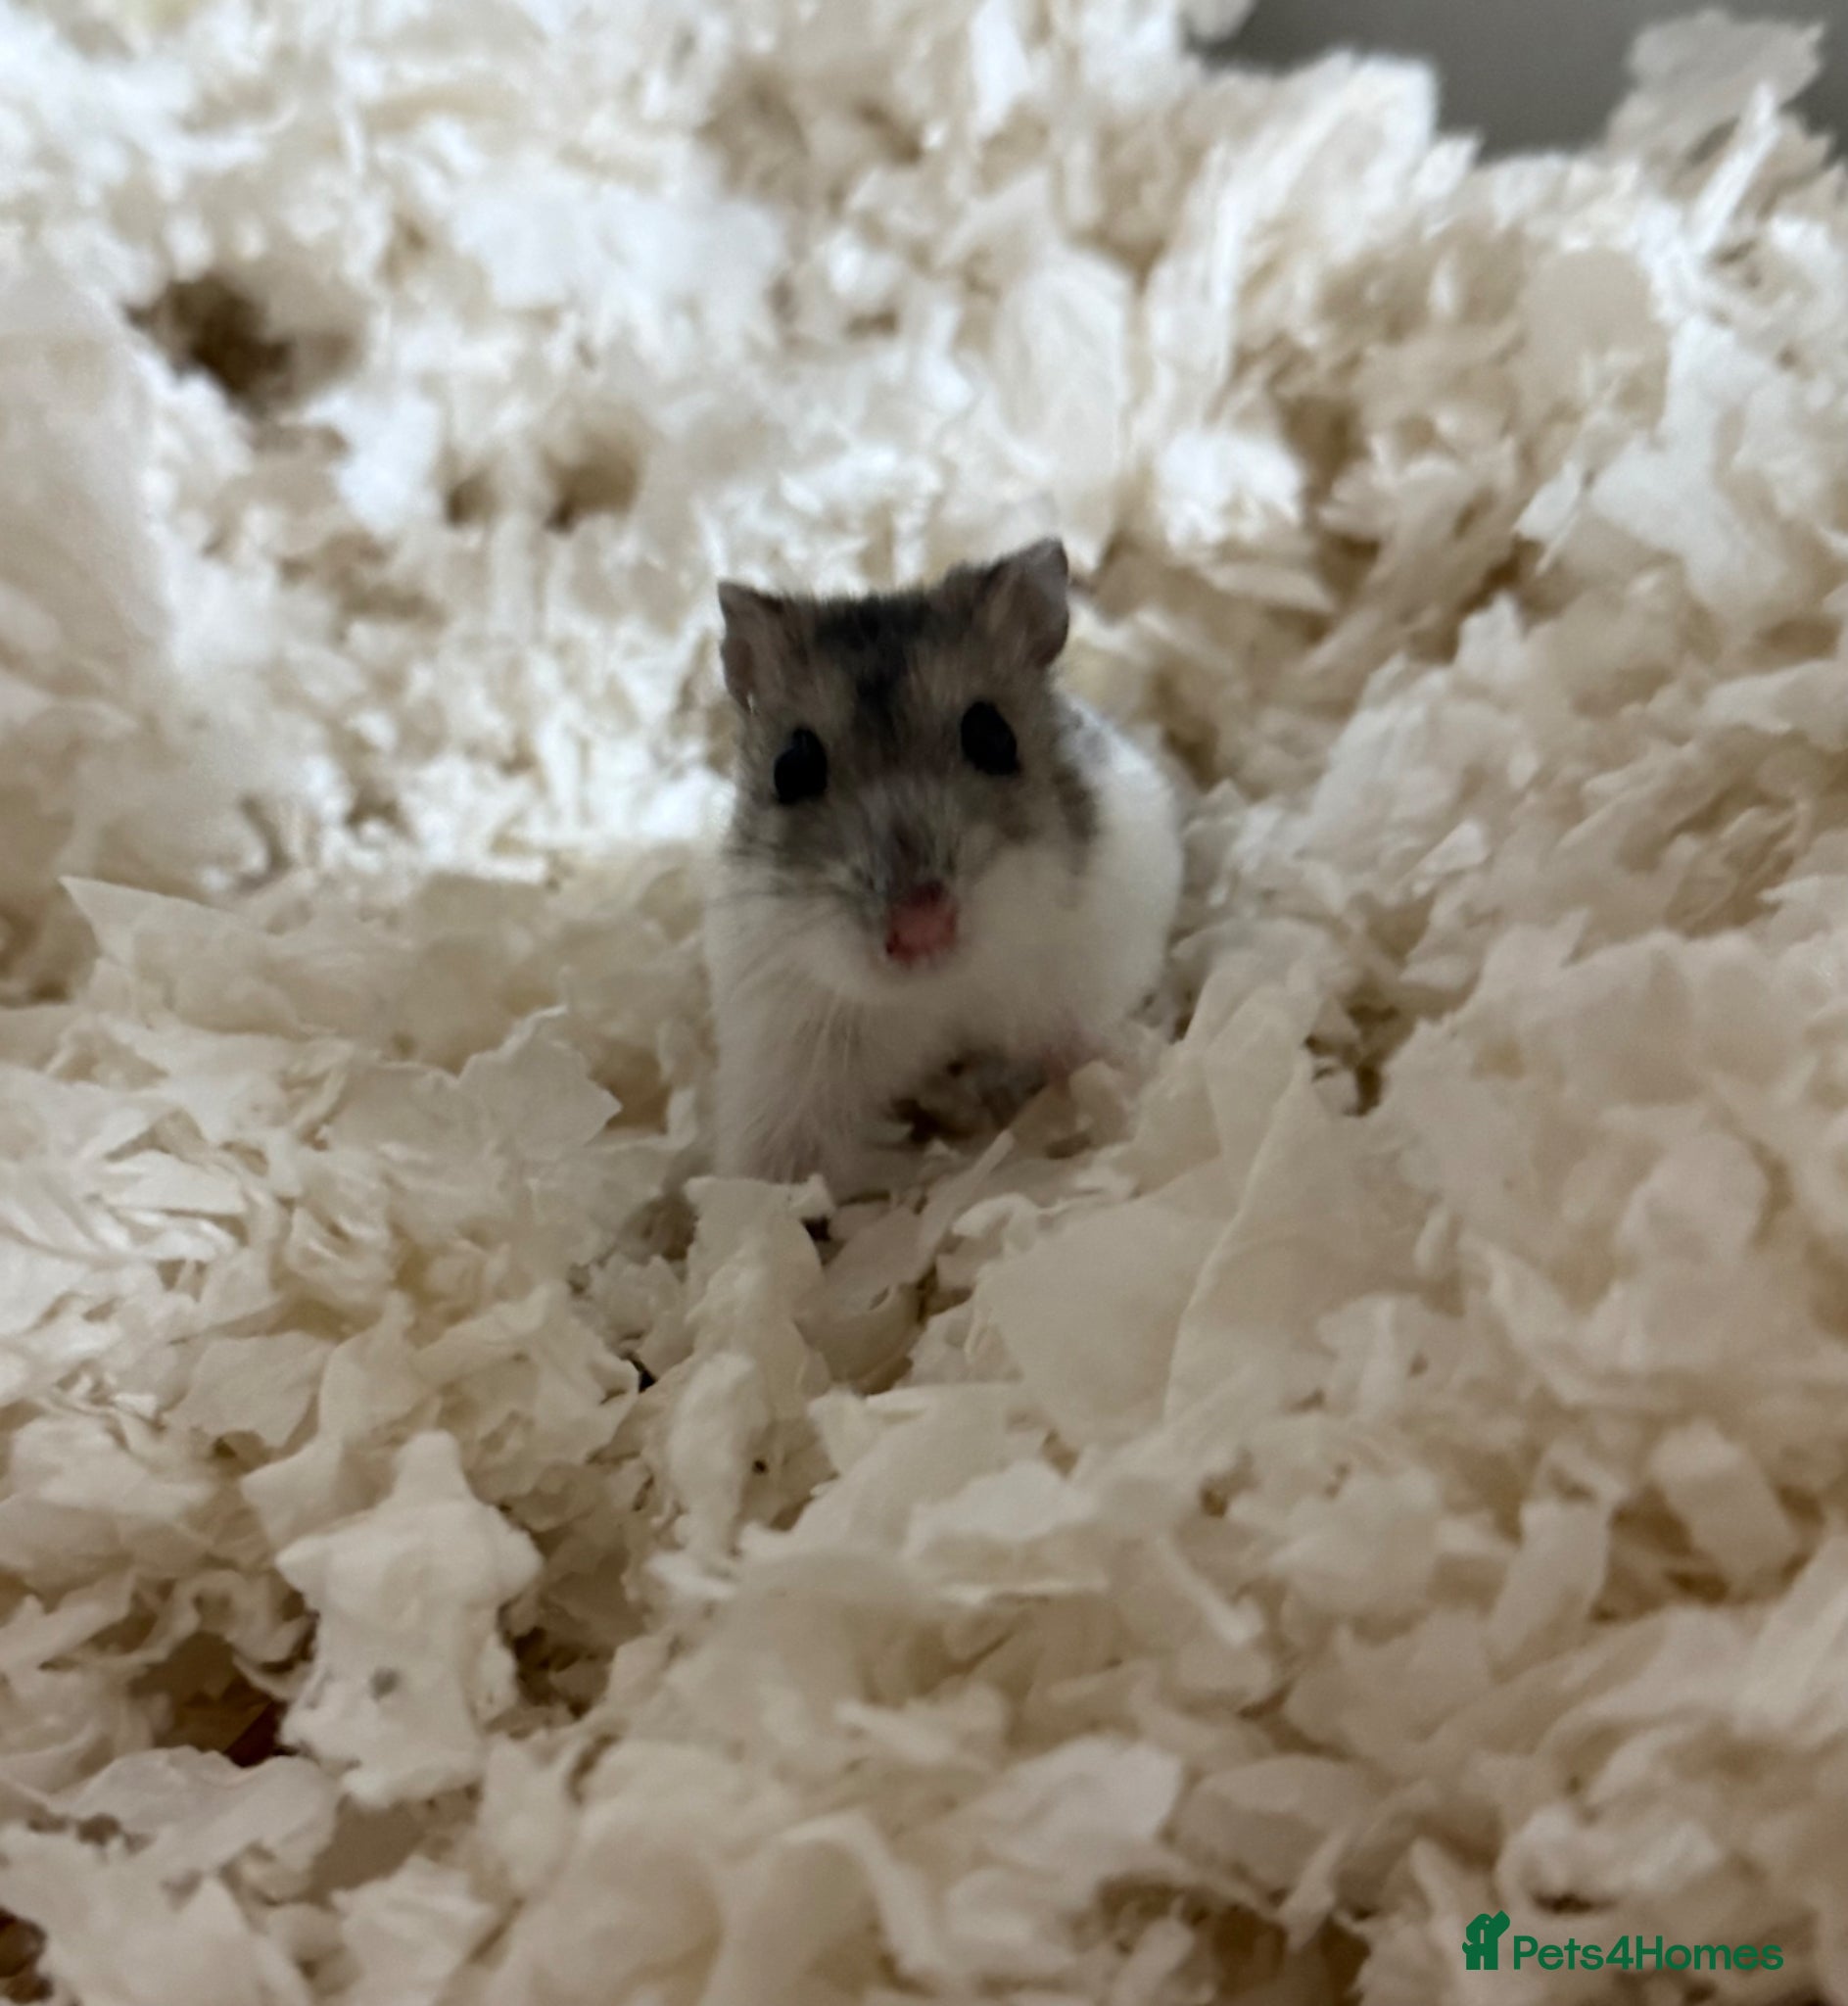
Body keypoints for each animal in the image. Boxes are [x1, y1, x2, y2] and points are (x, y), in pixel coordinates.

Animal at [704, 537, 1183, 1194]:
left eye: (992, 735)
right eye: (791, 767)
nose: (922, 929)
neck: (943, 989)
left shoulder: (1087, 967)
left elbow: (1079, 1043)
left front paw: (1122, 1086)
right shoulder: (786, 1052)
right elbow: (786, 1172)